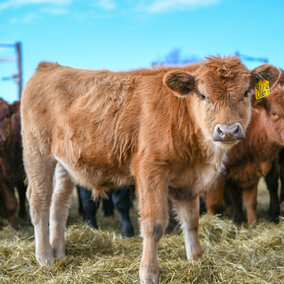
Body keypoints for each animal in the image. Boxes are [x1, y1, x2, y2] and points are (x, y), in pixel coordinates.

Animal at [21, 56, 280, 282]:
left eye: (246, 93)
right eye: (203, 95)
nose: (227, 130)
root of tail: (49, 67)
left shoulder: (188, 181)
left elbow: (192, 221)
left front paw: (197, 262)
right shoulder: (150, 170)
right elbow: (154, 225)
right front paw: (149, 273)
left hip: (64, 164)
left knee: (59, 205)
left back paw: (58, 253)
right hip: (38, 153)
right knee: (39, 201)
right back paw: (44, 259)